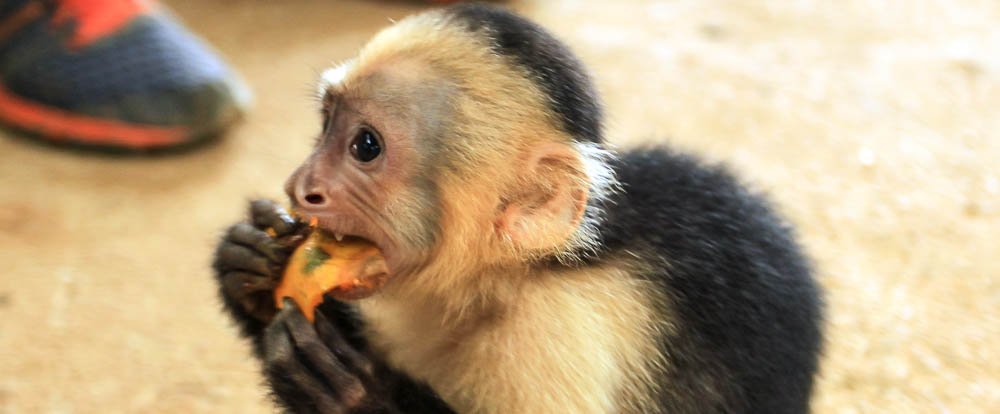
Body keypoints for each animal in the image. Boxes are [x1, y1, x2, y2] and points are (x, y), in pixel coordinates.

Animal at [211, 4, 820, 414]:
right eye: (325, 126)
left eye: (365, 146)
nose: (301, 186)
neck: (504, 278)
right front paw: (248, 269)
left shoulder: (554, 331)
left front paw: (353, 393)